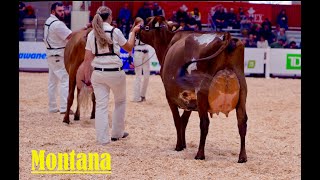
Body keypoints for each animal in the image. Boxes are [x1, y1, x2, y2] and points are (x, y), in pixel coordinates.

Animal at [139, 16, 249, 162]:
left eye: (146, 26)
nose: (137, 30)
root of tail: (225, 36)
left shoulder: (170, 96)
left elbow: (177, 120)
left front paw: (179, 146)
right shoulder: (191, 100)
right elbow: (184, 120)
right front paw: (183, 144)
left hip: (202, 91)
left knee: (204, 123)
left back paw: (200, 154)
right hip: (242, 92)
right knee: (242, 122)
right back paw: (242, 156)